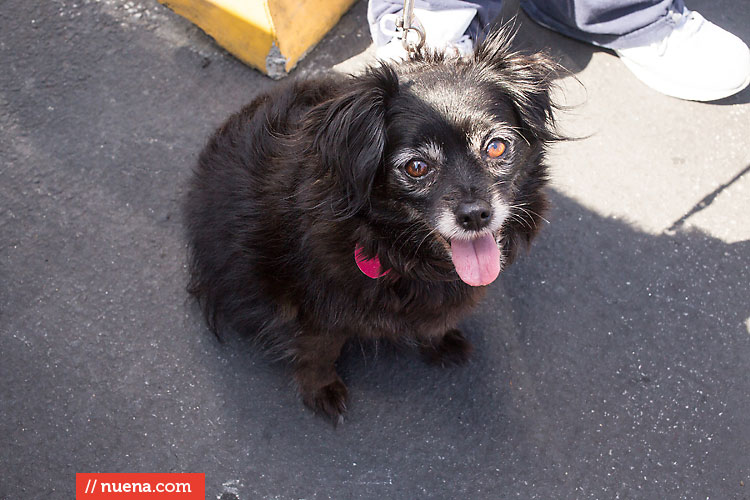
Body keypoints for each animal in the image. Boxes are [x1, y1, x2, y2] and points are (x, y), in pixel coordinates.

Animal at [184, 29, 560, 422]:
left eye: (497, 147)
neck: (398, 249)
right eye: (416, 167)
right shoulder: (312, 307)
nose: (475, 215)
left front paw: (440, 341)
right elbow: (319, 351)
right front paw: (321, 390)